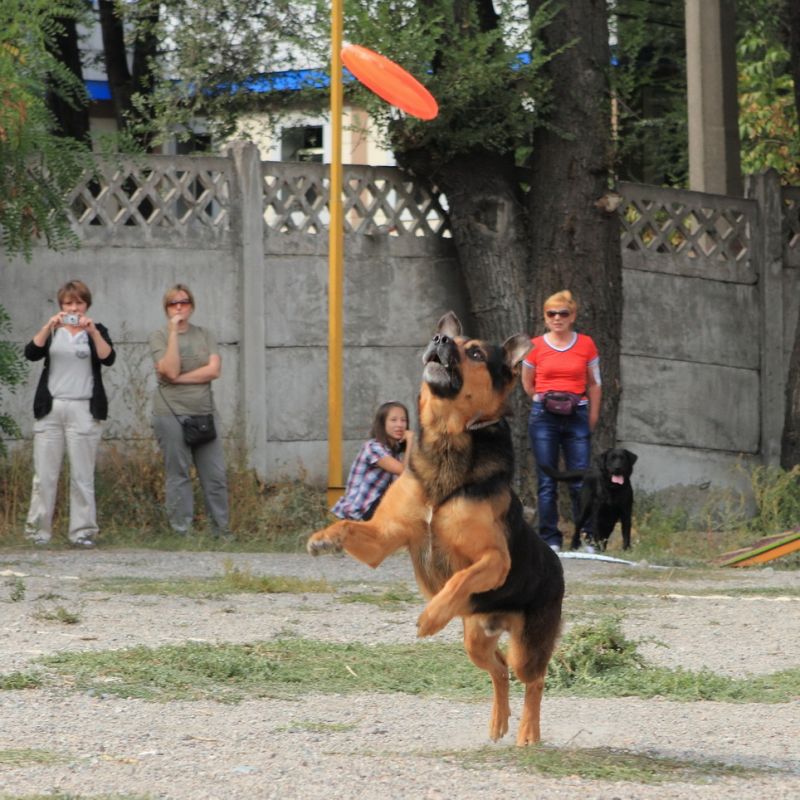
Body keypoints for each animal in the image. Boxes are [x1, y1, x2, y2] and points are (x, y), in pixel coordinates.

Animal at [306, 310, 564, 744]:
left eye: (475, 352)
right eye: (447, 338)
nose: (439, 339)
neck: (448, 441)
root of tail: (558, 563)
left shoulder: (495, 560)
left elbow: (459, 580)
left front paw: (431, 616)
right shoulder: (383, 540)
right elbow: (348, 525)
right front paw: (325, 539)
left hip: (528, 645)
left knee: (533, 678)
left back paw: (528, 731)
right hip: (476, 638)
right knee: (499, 669)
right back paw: (499, 722)